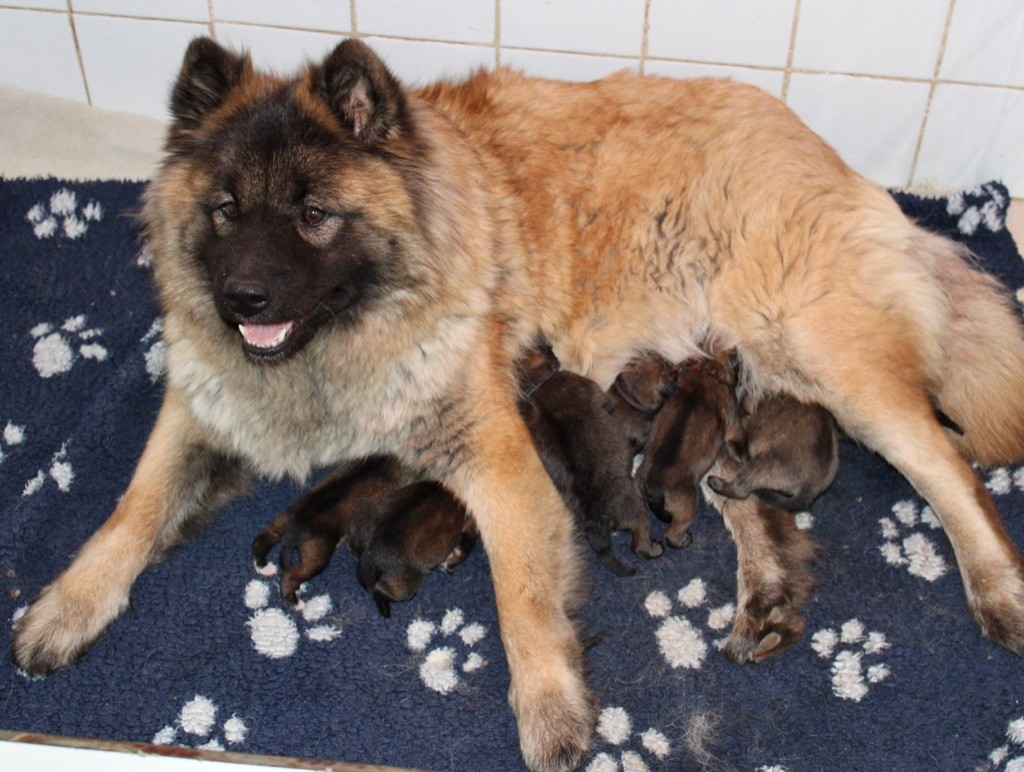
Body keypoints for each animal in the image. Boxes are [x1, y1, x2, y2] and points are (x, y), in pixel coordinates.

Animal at [249, 456, 473, 614]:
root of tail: (294, 528)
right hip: (316, 556)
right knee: (290, 574)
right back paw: (294, 602)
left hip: (279, 522)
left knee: (260, 540)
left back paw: (263, 566)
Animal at [638, 348, 745, 548]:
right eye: (735, 358)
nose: (738, 351)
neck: (707, 370)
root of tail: (654, 487)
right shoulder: (733, 422)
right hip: (688, 507)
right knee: (671, 534)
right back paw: (684, 540)